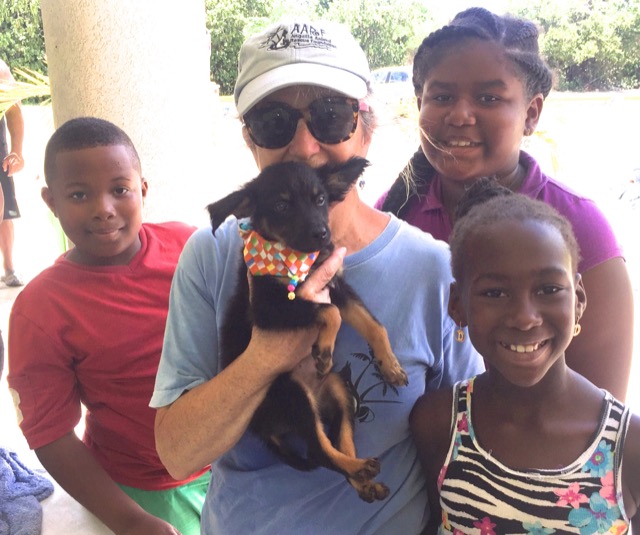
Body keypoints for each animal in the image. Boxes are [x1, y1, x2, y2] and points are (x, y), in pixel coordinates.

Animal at [208, 157, 408, 504]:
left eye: (321, 199)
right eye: (281, 205)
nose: (323, 234)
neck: (296, 259)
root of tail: (262, 428)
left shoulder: (337, 286)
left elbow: (373, 324)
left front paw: (390, 365)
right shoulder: (269, 309)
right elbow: (328, 313)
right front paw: (325, 350)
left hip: (341, 393)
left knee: (340, 442)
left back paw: (364, 479)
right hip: (291, 394)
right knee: (318, 451)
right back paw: (360, 468)